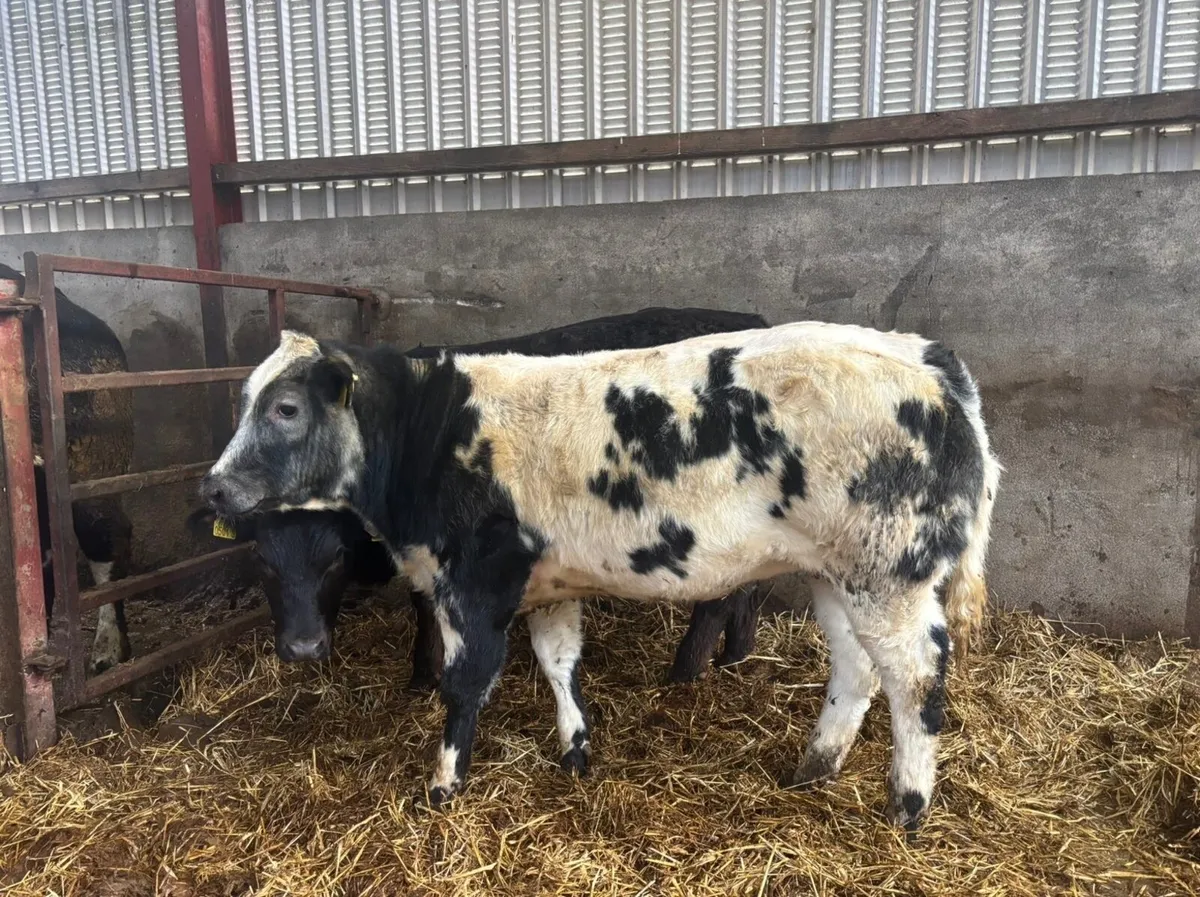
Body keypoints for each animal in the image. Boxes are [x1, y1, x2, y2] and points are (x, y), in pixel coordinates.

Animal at [188, 308, 773, 689]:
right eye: (262, 559)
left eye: (334, 558)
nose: (302, 650)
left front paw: (424, 677)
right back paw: (733, 658)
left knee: (719, 597)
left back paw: (682, 675)